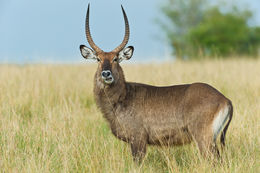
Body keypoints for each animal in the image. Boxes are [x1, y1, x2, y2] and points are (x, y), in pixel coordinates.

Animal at [79, 4, 234, 163]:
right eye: (98, 59)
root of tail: (225, 99)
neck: (123, 96)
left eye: (115, 59)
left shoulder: (138, 140)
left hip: (204, 139)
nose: (106, 74)